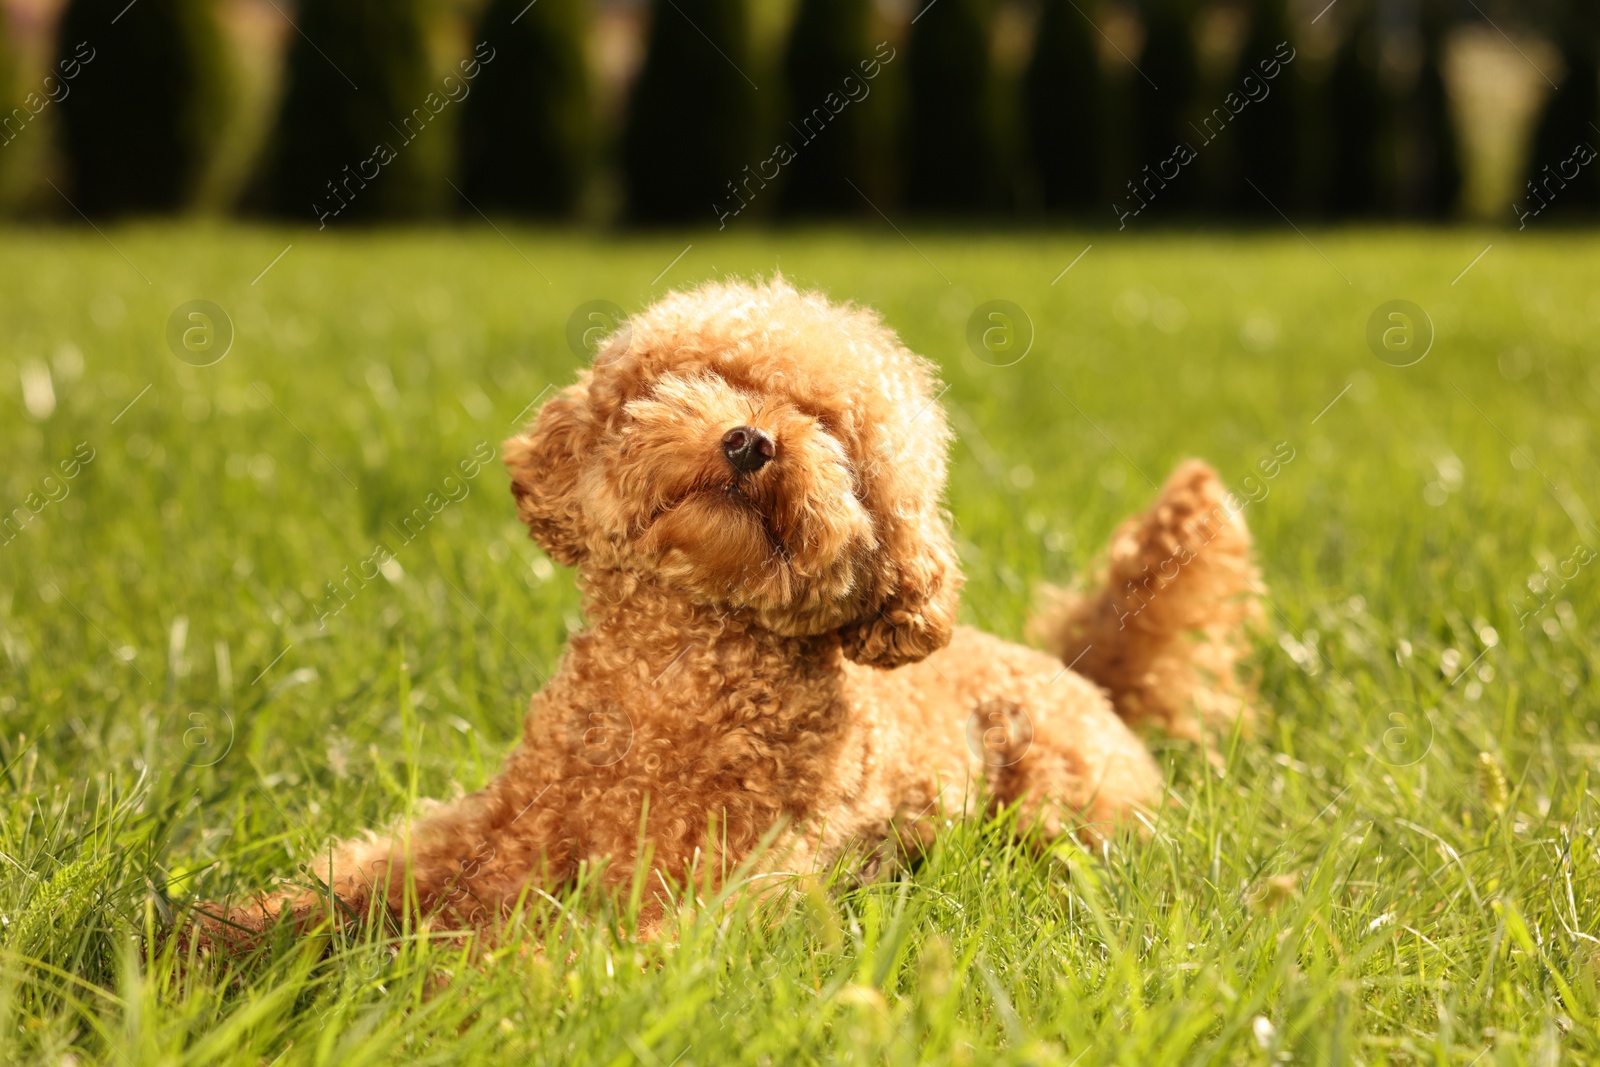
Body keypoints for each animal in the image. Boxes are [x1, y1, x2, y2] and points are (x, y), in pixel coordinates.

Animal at [190, 279, 1260, 947]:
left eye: (830, 429)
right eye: (706, 376)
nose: (752, 440)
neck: (681, 672)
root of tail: (1086, 675)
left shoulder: (725, 882)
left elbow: (582, 956)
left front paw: (475, 985)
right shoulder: (490, 828)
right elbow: (347, 881)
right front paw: (204, 941)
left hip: (1064, 808)